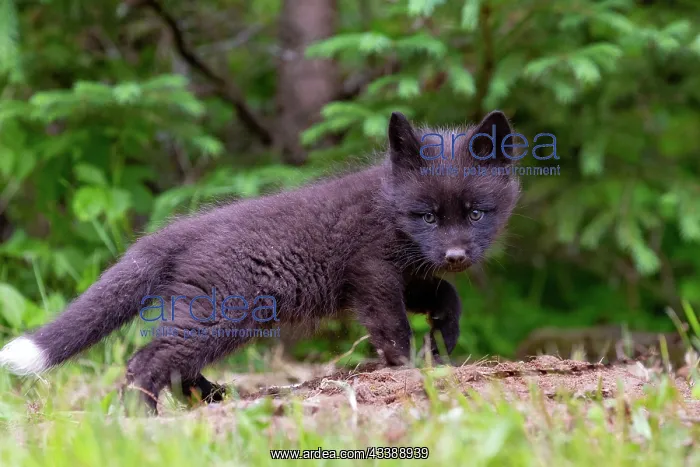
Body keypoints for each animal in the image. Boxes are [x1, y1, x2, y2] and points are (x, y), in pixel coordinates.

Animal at [0, 111, 521, 413]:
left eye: (475, 213)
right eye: (427, 215)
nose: (456, 255)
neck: (388, 209)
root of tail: (176, 231)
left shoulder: (409, 274)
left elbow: (447, 295)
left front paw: (443, 339)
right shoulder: (372, 275)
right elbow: (393, 330)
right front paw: (411, 368)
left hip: (212, 315)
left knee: (175, 363)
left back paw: (212, 397)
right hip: (227, 314)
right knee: (147, 360)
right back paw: (142, 419)